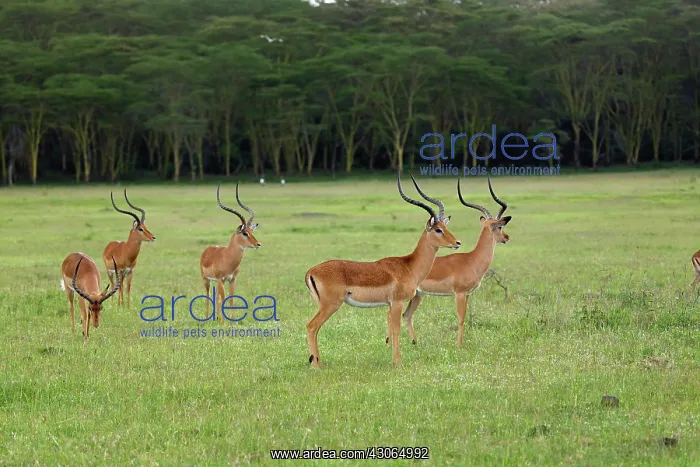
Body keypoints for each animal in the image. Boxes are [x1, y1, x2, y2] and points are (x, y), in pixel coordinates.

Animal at [200, 183, 261, 322]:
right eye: (245, 233)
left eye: (252, 231)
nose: (258, 244)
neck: (227, 258)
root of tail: (208, 249)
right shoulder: (221, 279)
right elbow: (223, 299)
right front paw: (224, 322)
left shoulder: (232, 279)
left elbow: (231, 299)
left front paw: (231, 321)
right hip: (207, 280)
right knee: (207, 295)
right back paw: (207, 318)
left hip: (218, 282)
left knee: (216, 296)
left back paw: (216, 318)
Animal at [305, 172, 462, 368]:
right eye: (438, 229)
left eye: (446, 227)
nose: (457, 243)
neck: (409, 266)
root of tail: (311, 271)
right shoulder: (397, 302)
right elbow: (396, 330)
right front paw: (397, 363)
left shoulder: (390, 305)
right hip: (330, 305)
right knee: (311, 327)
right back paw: (317, 366)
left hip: (324, 305)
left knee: (315, 329)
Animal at [398, 176, 511, 347]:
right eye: (499, 227)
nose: (506, 237)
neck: (472, 260)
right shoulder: (459, 293)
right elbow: (461, 318)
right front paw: (459, 345)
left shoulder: (468, 294)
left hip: (418, 295)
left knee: (406, 315)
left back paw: (415, 343)